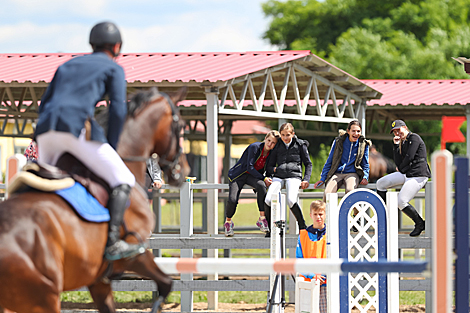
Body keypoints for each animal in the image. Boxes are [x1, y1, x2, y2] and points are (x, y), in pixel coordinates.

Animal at [0, 86, 190, 312]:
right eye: (180, 126)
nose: (183, 171)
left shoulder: (99, 279)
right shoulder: (135, 254)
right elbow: (165, 283)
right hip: (43, 297)